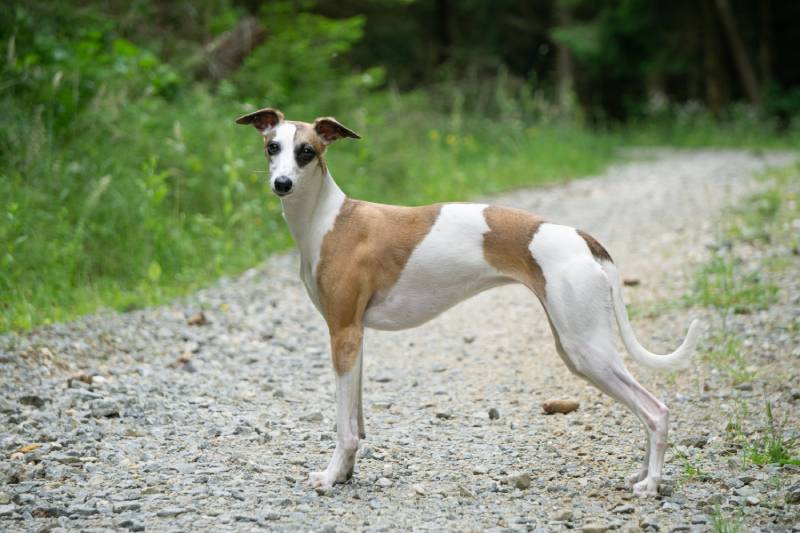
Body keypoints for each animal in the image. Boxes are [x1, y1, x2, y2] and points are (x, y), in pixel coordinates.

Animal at [236, 106, 700, 496]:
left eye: (307, 151)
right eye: (272, 147)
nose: (282, 184)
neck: (329, 219)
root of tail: (581, 236)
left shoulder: (343, 333)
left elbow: (345, 426)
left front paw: (332, 476)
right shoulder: (356, 336)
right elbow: (358, 420)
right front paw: (347, 474)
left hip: (587, 348)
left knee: (656, 410)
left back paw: (651, 484)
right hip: (576, 347)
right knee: (645, 410)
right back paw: (641, 475)